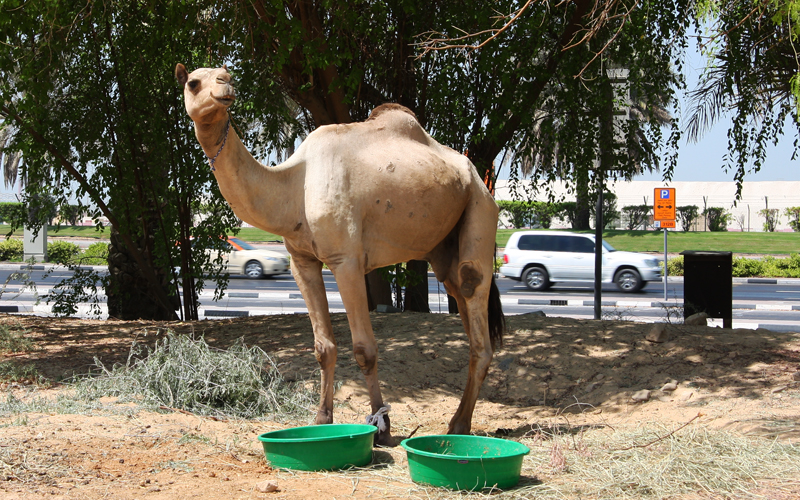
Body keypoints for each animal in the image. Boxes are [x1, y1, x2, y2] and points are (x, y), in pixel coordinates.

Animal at [177, 63, 504, 446]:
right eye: (193, 83)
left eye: (225, 75)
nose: (224, 88)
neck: (294, 186)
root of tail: (476, 175)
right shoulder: (302, 261)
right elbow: (324, 347)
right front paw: (322, 419)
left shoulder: (346, 260)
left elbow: (364, 349)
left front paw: (382, 426)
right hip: (443, 243)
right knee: (462, 299)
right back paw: (460, 421)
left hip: (480, 206)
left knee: (473, 288)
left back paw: (458, 426)